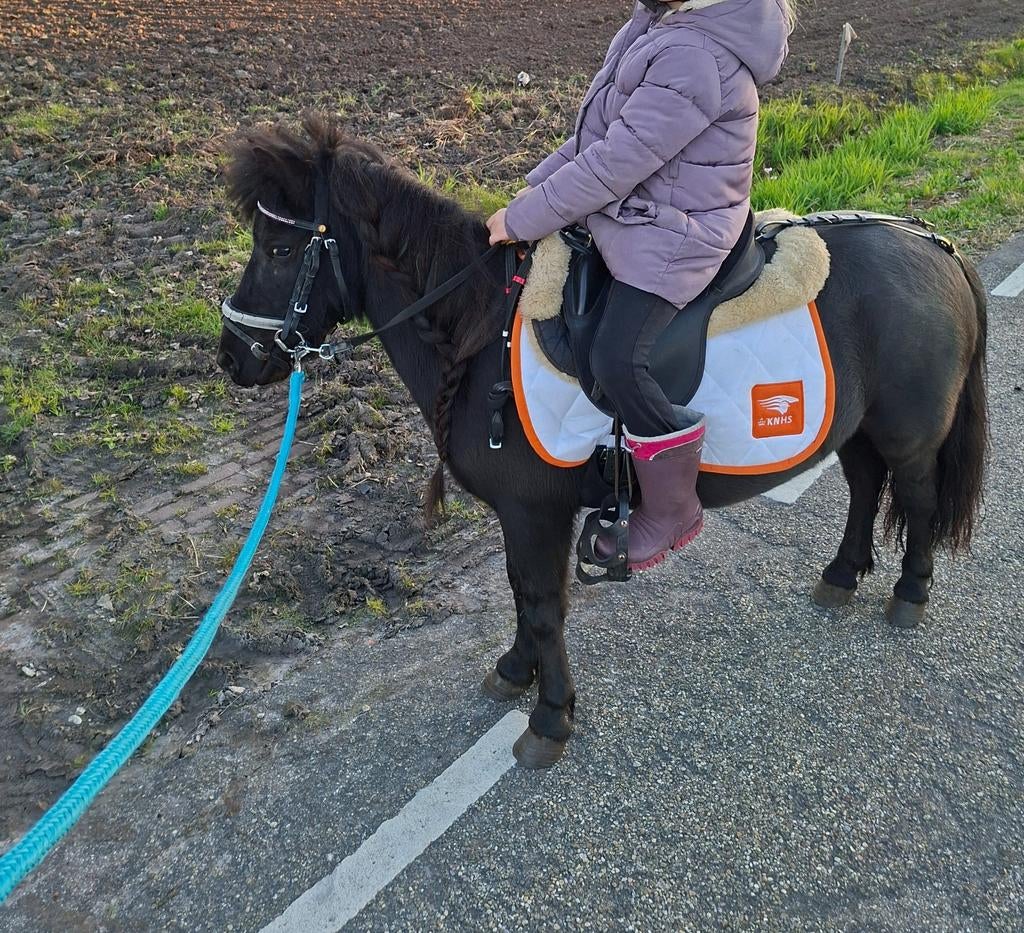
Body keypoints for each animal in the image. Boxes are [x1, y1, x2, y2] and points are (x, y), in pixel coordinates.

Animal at [215, 115, 988, 768]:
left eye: (279, 247)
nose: (231, 357)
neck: (480, 330)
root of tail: (933, 242)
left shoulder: (534, 512)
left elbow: (543, 603)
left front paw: (550, 716)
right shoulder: (525, 516)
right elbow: (523, 593)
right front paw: (515, 671)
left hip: (909, 434)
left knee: (917, 501)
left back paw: (909, 592)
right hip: (856, 427)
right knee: (863, 488)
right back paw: (841, 575)